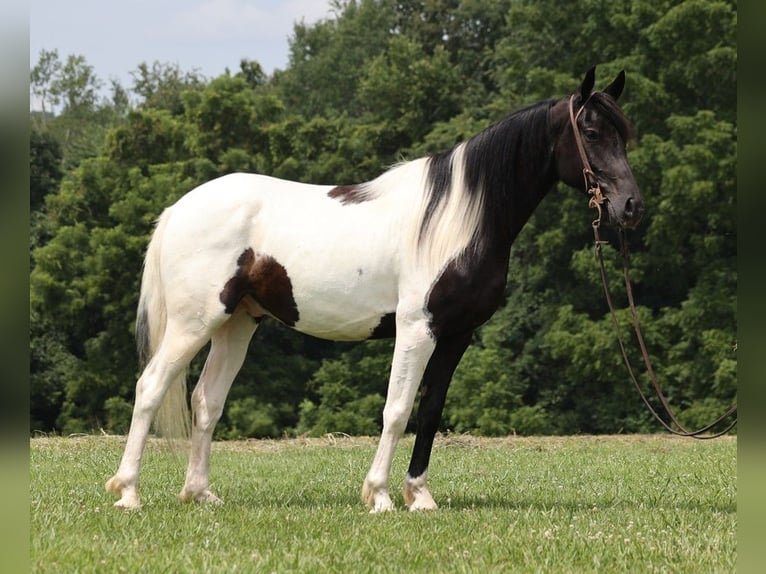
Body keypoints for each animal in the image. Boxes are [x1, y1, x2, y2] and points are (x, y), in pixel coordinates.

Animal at [106, 66, 640, 512]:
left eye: (625, 134)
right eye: (592, 132)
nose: (630, 206)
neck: (458, 219)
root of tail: (179, 208)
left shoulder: (456, 335)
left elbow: (430, 411)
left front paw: (419, 496)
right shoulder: (417, 329)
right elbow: (397, 410)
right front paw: (380, 495)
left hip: (237, 323)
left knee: (207, 402)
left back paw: (200, 494)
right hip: (194, 322)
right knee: (151, 388)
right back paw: (128, 492)